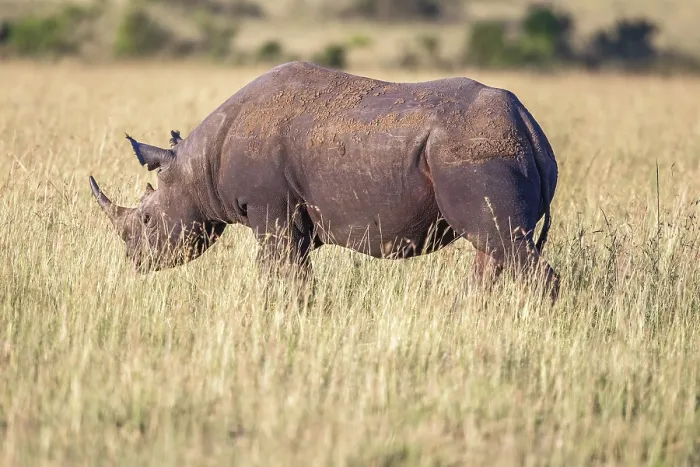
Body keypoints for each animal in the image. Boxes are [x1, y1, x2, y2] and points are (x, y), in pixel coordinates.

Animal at [89, 61, 560, 297]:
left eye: (146, 220)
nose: (133, 261)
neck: (194, 166)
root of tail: (529, 128)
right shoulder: (291, 217)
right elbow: (294, 270)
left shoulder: (270, 208)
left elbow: (277, 269)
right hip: (488, 148)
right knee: (491, 248)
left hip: (475, 154)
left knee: (504, 243)